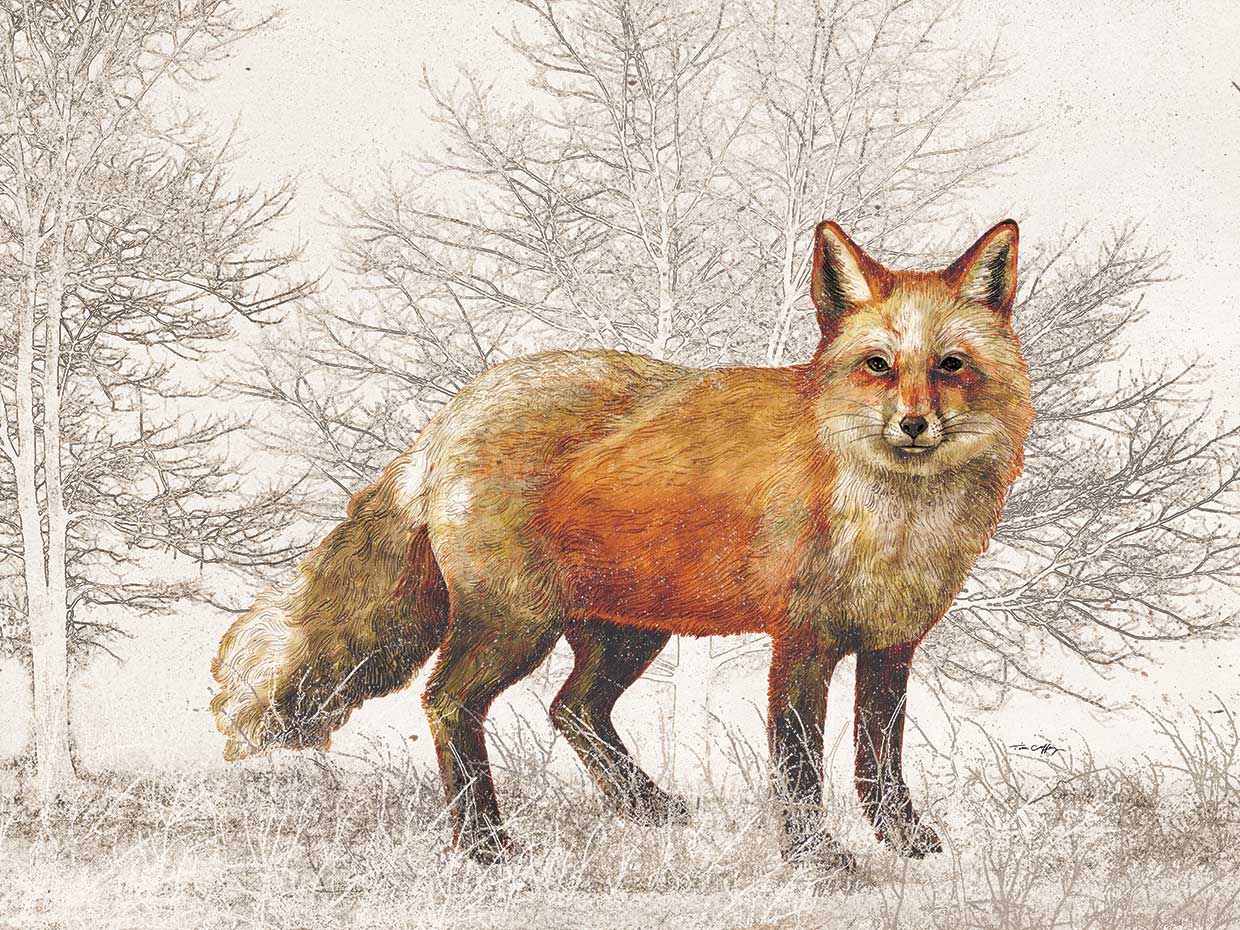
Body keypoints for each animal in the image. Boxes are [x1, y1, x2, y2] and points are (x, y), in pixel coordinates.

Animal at [211, 219, 1033, 871]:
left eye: (951, 365)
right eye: (877, 366)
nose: (914, 425)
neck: (894, 522)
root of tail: (450, 416)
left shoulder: (893, 646)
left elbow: (879, 761)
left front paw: (906, 842)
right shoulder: (801, 643)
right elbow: (799, 769)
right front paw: (815, 859)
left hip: (627, 631)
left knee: (570, 709)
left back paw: (644, 806)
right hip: (517, 627)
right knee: (448, 701)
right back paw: (483, 844)